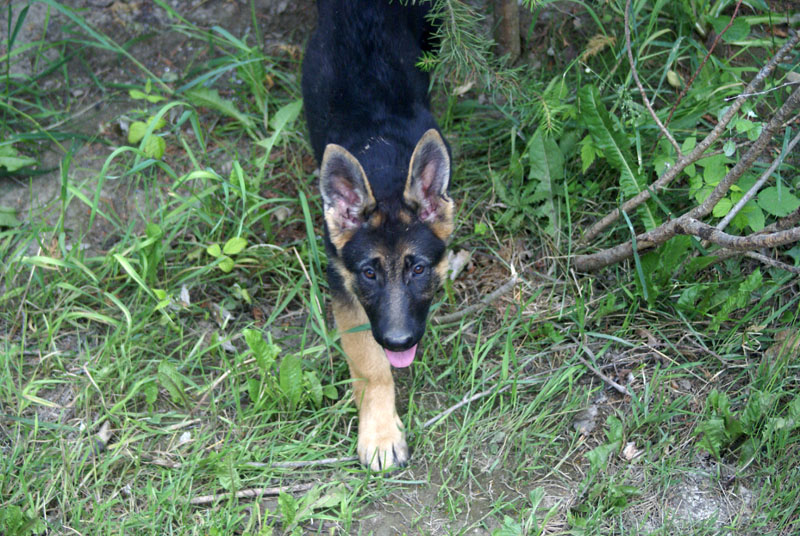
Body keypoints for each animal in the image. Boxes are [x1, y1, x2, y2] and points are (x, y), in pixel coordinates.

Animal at [302, 0, 454, 468]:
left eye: (418, 269)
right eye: (369, 274)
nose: (399, 340)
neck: (382, 160)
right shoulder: (343, 283)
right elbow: (370, 365)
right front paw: (380, 432)